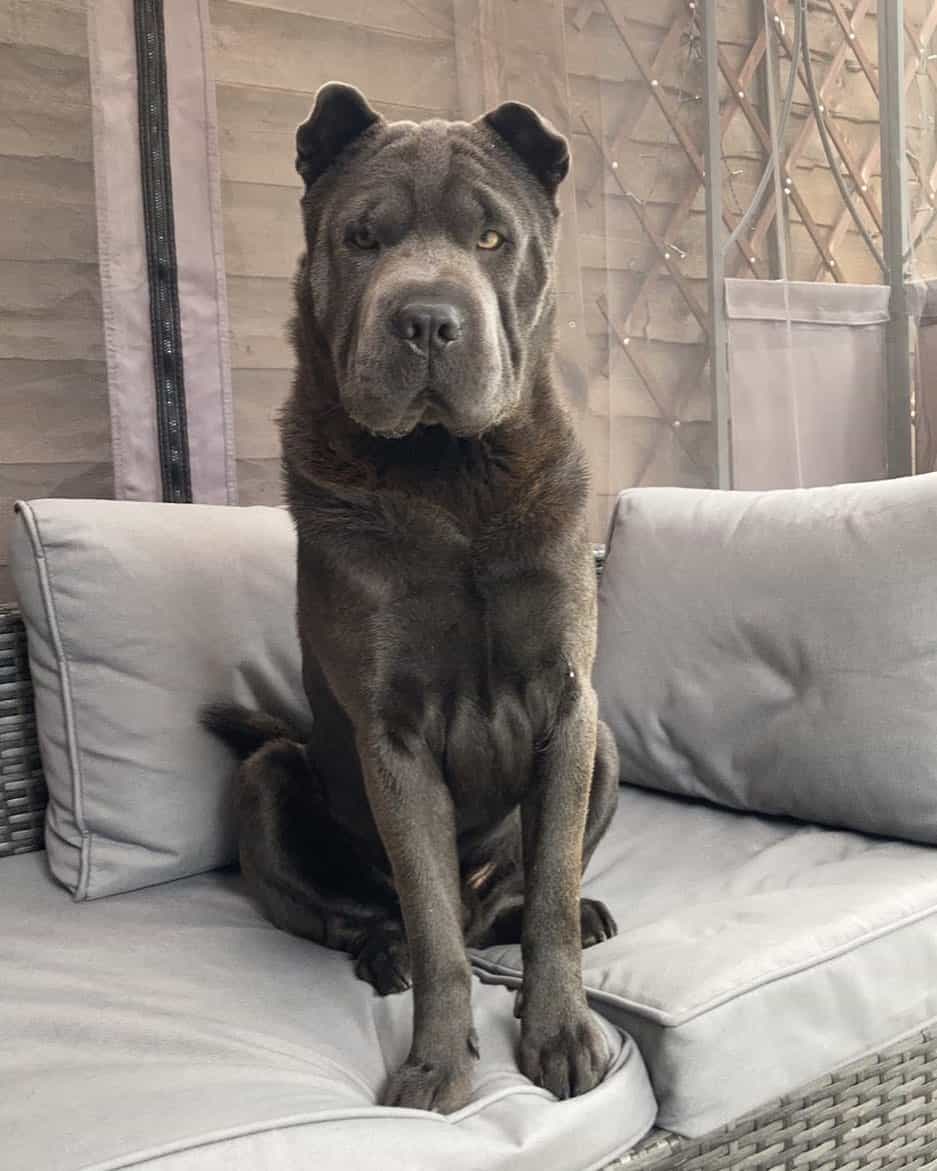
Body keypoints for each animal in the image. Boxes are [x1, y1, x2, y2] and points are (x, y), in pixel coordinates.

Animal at [202, 84, 623, 1114]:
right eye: (362, 236)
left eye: (490, 236)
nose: (427, 319)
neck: (450, 473)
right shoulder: (390, 733)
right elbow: (430, 919)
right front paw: (436, 1065)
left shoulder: (569, 705)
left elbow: (548, 891)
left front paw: (560, 1033)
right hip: (267, 775)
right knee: (375, 915)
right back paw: (382, 950)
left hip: (606, 749)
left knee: (518, 896)